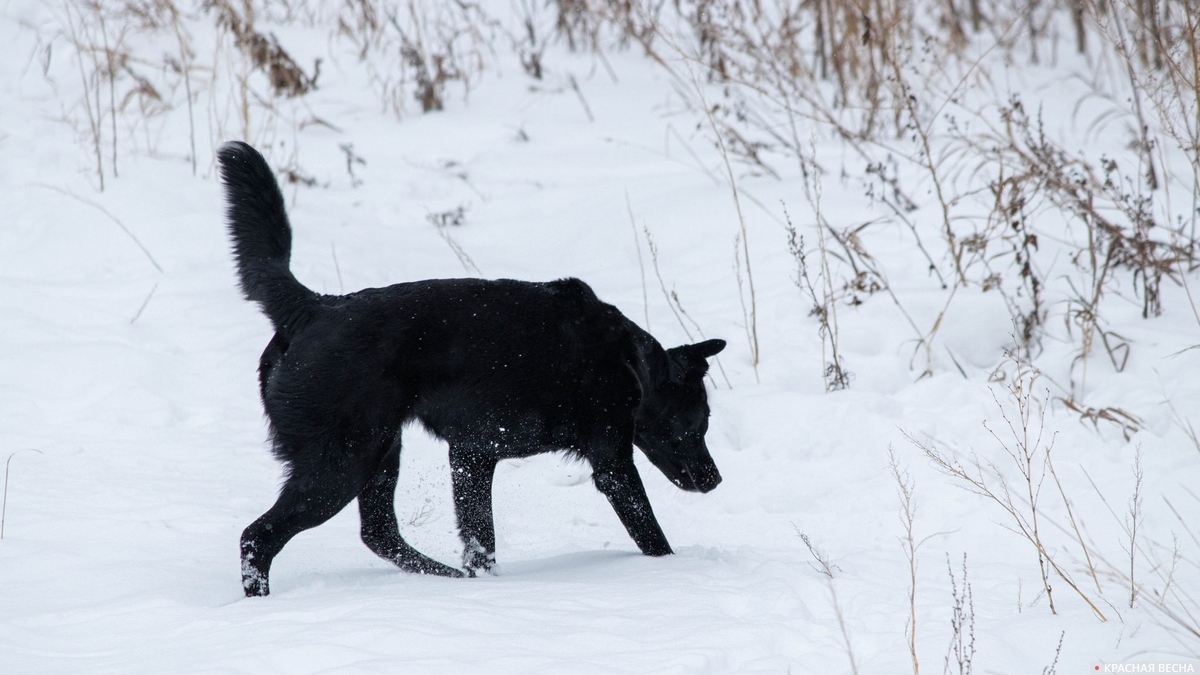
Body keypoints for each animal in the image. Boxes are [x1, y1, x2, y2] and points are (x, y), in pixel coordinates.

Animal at [218, 140, 720, 593]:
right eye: (697, 424)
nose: (715, 479)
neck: (632, 362)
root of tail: (313, 307)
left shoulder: (472, 455)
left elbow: (481, 538)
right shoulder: (611, 462)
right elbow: (649, 531)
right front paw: (673, 568)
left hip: (382, 450)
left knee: (379, 531)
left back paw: (449, 579)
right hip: (342, 463)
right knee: (258, 537)